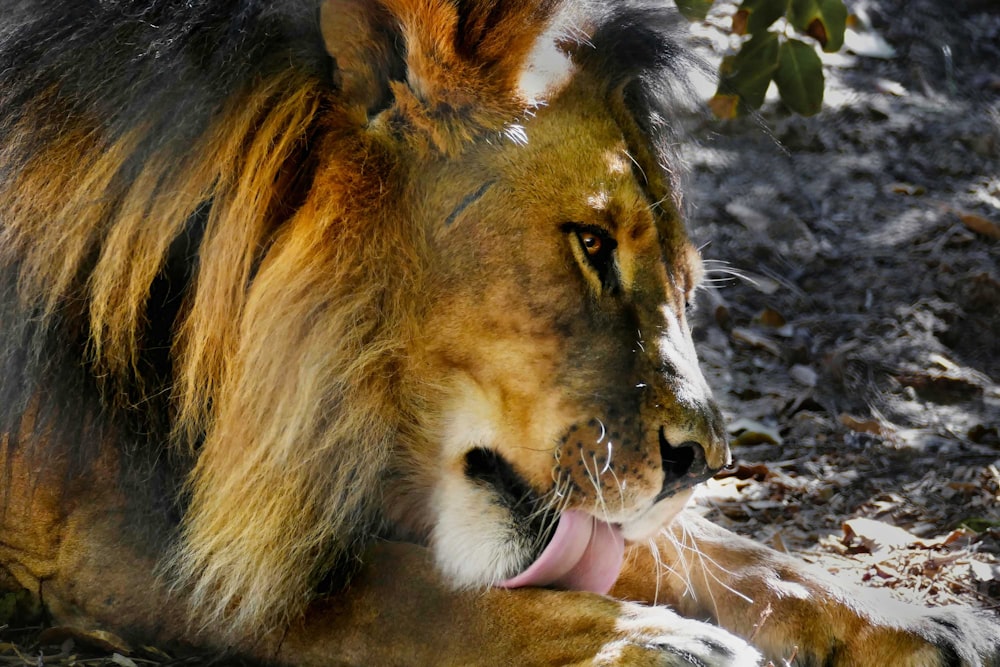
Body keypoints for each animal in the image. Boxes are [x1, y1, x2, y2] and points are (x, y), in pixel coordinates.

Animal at [1, 0, 1000, 664]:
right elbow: (405, 595)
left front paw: (917, 621)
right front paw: (655, 644)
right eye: (592, 243)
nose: (704, 462)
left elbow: (716, 548)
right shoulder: (113, 531)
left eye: (686, 282)